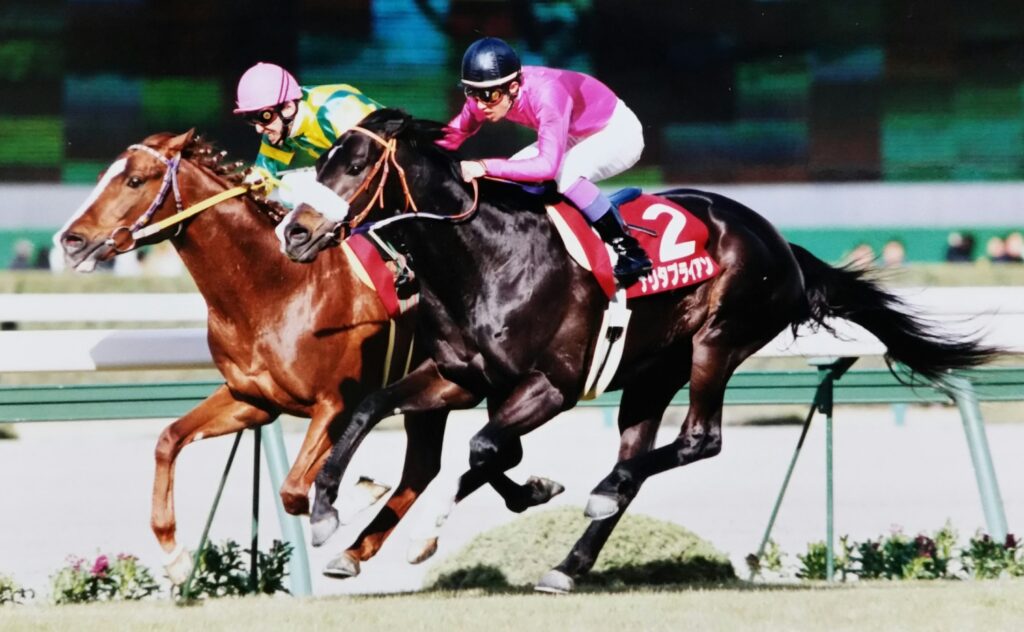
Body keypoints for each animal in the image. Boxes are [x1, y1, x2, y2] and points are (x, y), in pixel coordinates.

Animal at [54, 130, 563, 584]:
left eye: (134, 180)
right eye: (102, 175)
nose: (70, 240)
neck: (274, 287)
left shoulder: (335, 404)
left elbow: (296, 488)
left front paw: (352, 497)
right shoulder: (252, 399)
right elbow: (168, 440)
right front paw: (176, 559)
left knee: (461, 457)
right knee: (437, 464)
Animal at [278, 108, 999, 593]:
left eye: (355, 164)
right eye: (322, 161)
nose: (294, 232)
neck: (484, 261)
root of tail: (780, 243)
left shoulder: (553, 386)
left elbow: (483, 448)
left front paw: (429, 534)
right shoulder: (459, 375)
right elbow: (373, 409)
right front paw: (327, 516)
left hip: (717, 342)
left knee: (700, 439)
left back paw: (599, 497)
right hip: (653, 373)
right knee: (639, 459)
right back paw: (569, 562)